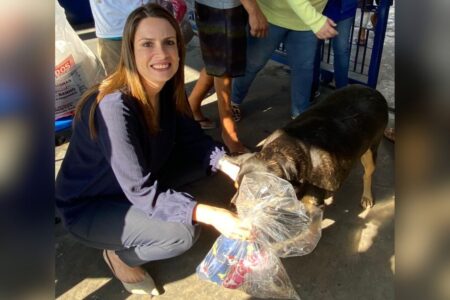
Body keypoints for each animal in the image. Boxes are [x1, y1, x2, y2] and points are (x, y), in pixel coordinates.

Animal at [230, 84, 388, 209]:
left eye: (252, 194)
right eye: (235, 187)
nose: (232, 206)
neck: (284, 152)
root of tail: (374, 91)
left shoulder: (312, 204)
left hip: (371, 152)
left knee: (367, 174)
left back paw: (367, 196)